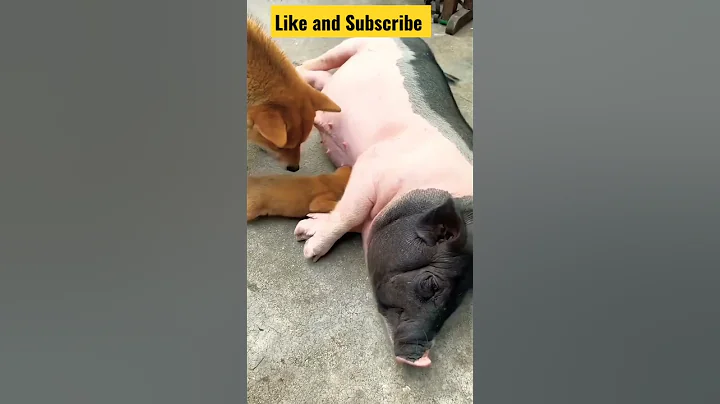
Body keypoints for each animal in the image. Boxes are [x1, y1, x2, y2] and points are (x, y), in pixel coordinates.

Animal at [293, 38, 473, 368]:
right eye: (431, 284)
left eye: (457, 302)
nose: (421, 360)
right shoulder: (370, 164)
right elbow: (350, 214)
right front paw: (309, 250)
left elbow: (348, 215)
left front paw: (305, 229)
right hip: (356, 43)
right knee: (320, 62)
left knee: (323, 81)